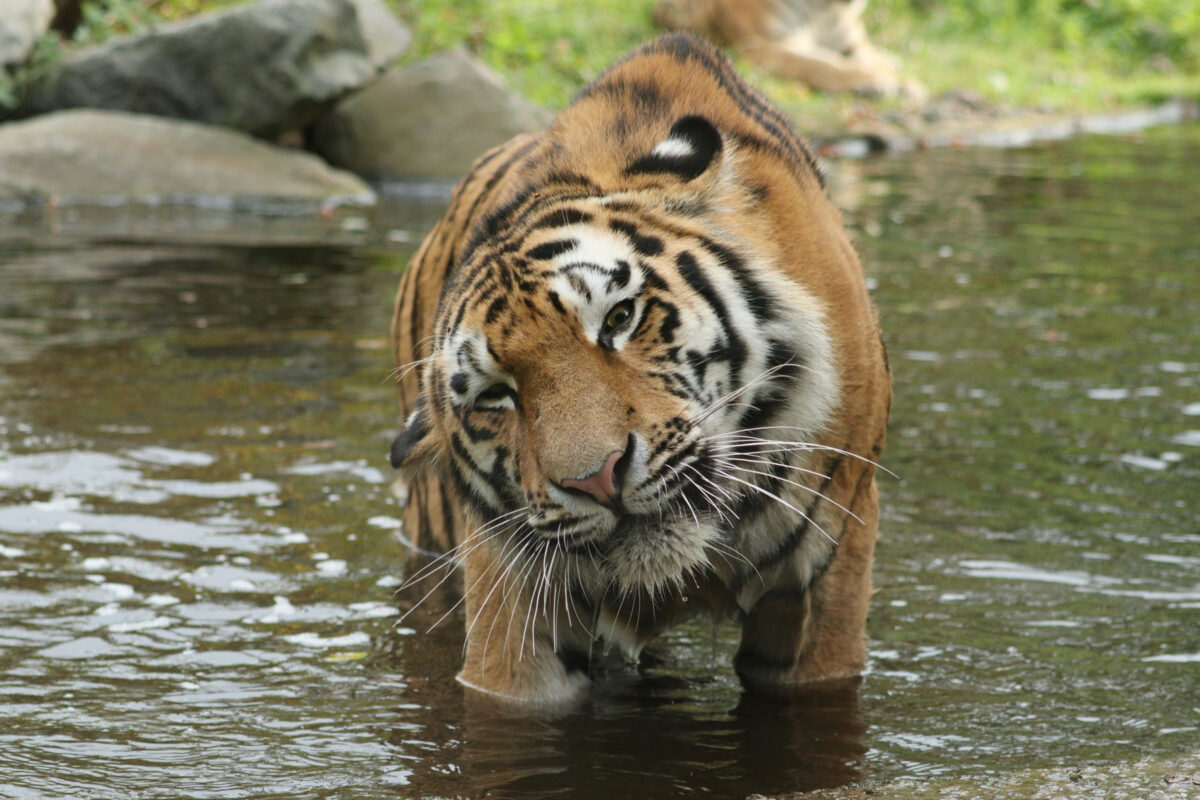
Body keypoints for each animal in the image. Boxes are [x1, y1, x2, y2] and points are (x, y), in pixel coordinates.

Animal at [652, 0, 921, 99]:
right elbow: (821, 64)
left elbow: (873, 60)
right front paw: (873, 82)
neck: (825, 8)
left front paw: (906, 85)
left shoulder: (852, 44)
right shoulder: (767, 45)